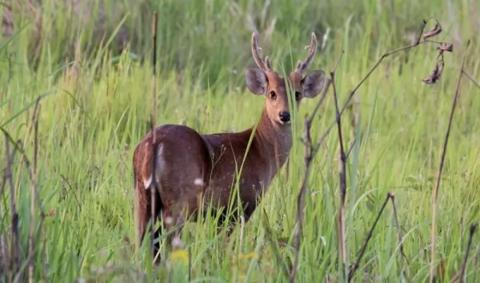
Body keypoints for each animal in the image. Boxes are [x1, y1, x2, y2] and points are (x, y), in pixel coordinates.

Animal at [131, 32, 328, 260]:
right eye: (272, 93)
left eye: (297, 94)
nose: (284, 115)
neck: (260, 150)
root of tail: (151, 147)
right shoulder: (238, 205)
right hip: (179, 199)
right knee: (168, 243)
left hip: (142, 196)